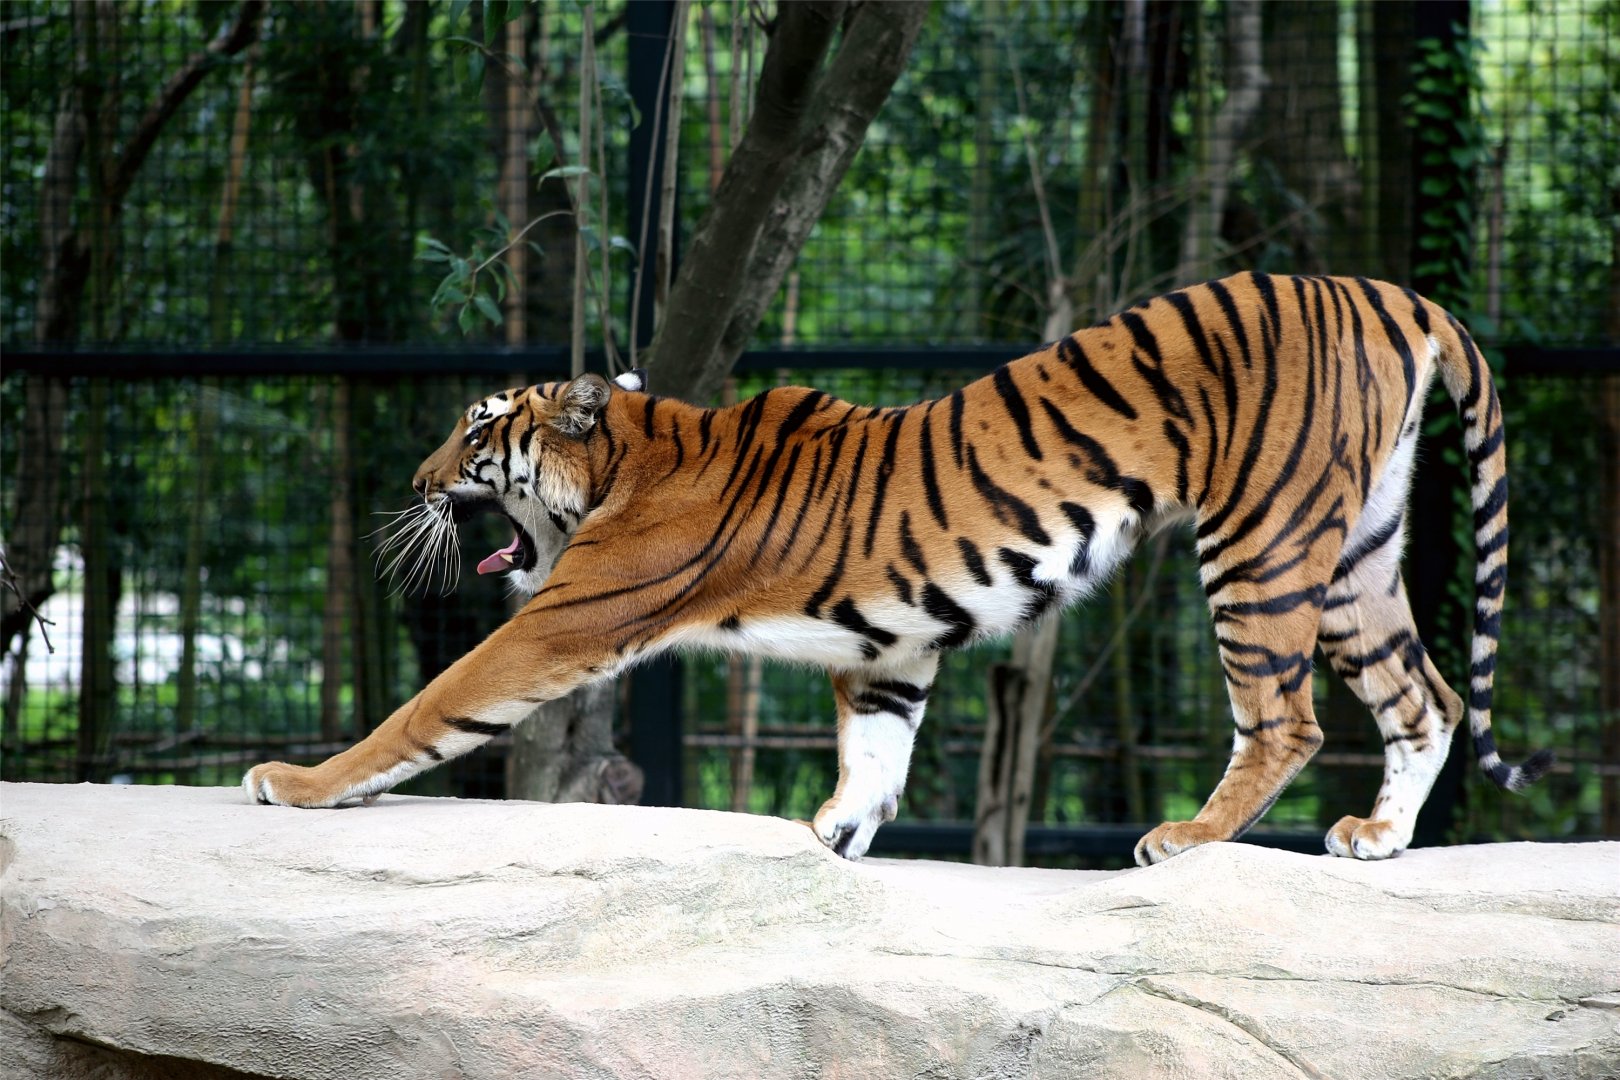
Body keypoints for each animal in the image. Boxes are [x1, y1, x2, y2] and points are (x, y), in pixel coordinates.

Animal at [244, 271, 1552, 866]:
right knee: (1425, 699)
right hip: (1361, 552)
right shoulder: (896, 647)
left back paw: (1184, 839)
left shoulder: (559, 621)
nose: (416, 483)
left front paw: (295, 783)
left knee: (1285, 716)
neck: (633, 451)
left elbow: (428, 708)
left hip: (1265, 542)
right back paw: (1377, 839)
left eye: (473, 432)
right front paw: (830, 840)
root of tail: (1391, 288)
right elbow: (874, 755)